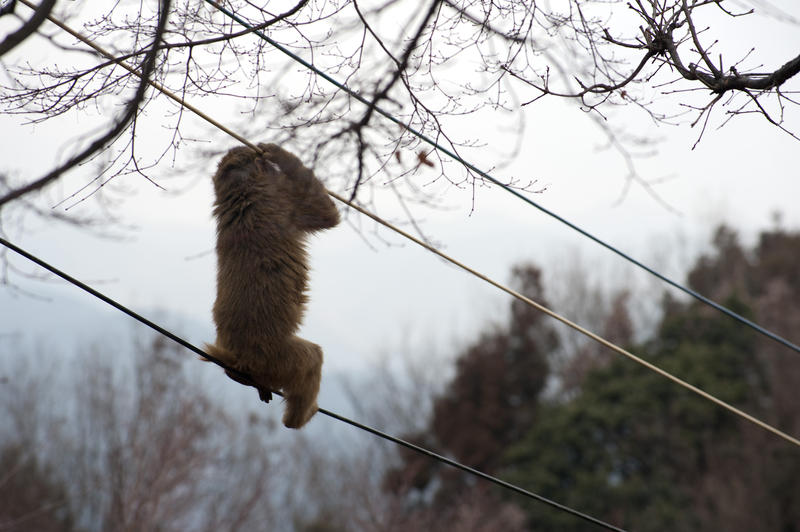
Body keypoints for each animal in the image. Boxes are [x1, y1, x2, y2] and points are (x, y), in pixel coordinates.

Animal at [205, 143, 340, 430]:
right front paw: (275, 152)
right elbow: (326, 215)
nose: (261, 158)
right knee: (312, 357)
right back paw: (297, 418)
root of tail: (238, 361)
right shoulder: (282, 203)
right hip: (276, 359)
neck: (241, 194)